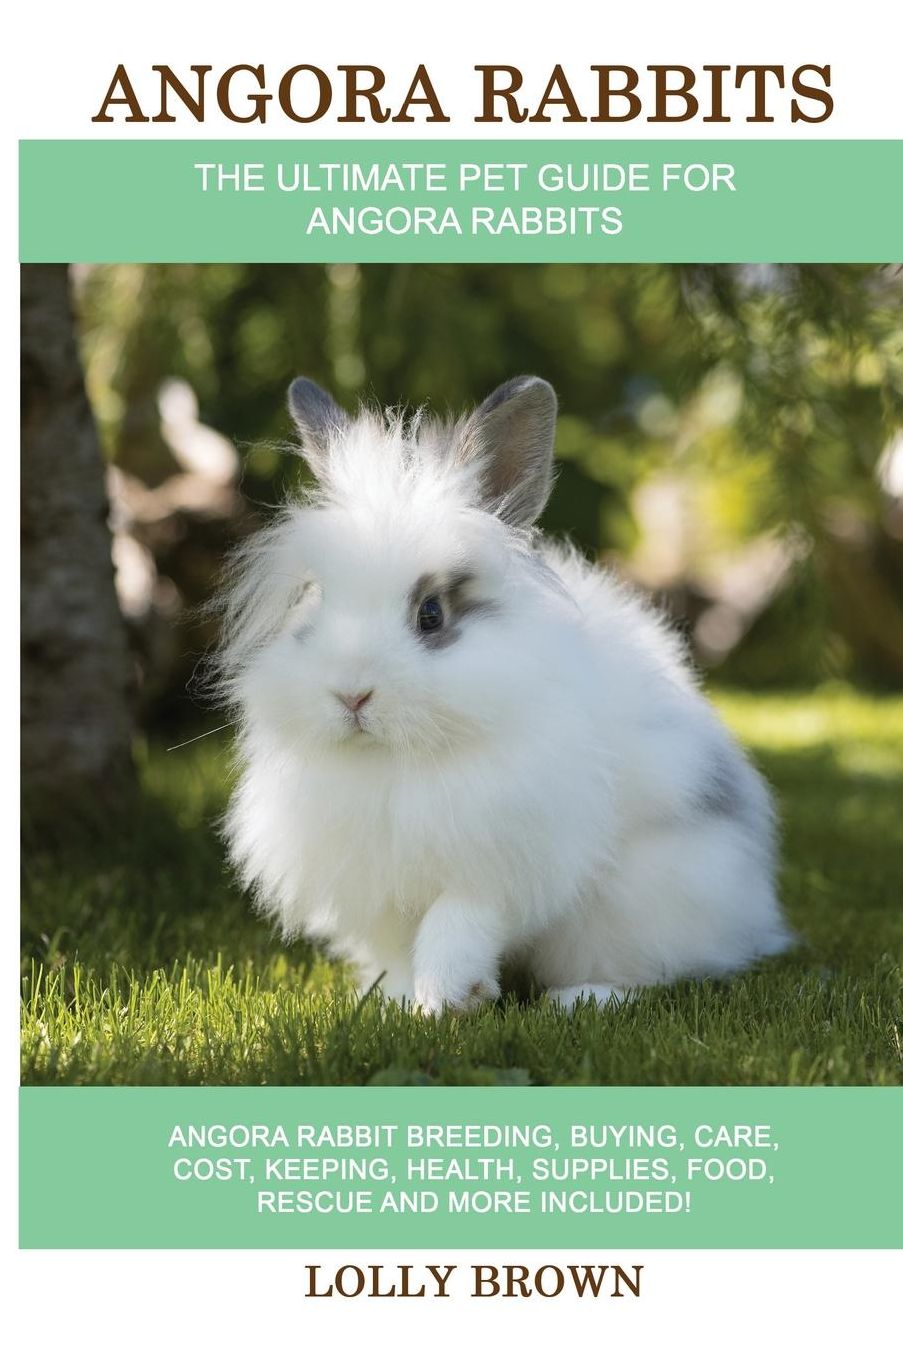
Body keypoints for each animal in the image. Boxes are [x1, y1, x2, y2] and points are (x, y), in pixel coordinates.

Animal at [216, 375, 792, 1014]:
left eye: (432, 614)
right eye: (315, 601)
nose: (351, 695)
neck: (395, 763)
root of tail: (751, 917)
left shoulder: (497, 865)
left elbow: (454, 927)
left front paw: (445, 1000)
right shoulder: (382, 884)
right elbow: (400, 949)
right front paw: (395, 1001)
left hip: (645, 903)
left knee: (661, 972)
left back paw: (581, 999)